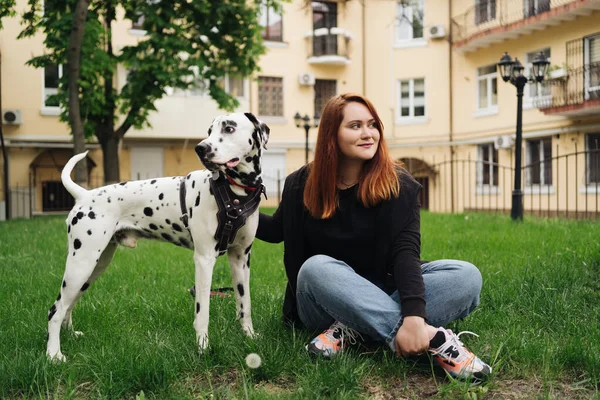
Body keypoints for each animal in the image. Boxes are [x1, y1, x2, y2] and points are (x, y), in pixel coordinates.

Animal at [46, 111, 270, 360]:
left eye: (229, 128)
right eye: (209, 131)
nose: (200, 148)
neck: (234, 191)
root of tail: (84, 195)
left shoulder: (241, 259)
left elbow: (244, 303)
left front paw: (249, 335)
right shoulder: (204, 260)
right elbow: (202, 311)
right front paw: (202, 348)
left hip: (93, 267)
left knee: (68, 305)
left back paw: (69, 335)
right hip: (81, 265)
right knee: (55, 309)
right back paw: (54, 354)